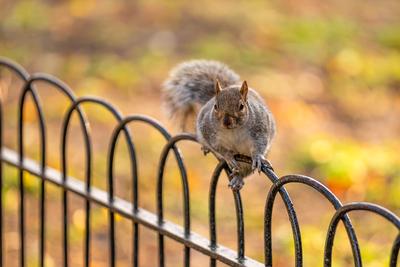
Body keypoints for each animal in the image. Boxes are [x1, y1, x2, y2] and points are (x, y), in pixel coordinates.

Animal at [162, 60, 276, 192]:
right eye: (216, 106)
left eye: (241, 106)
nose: (226, 122)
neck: (233, 130)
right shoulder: (208, 131)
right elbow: (218, 147)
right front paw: (228, 156)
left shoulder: (260, 127)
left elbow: (260, 144)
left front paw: (257, 157)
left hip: (247, 163)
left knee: (243, 171)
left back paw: (238, 179)